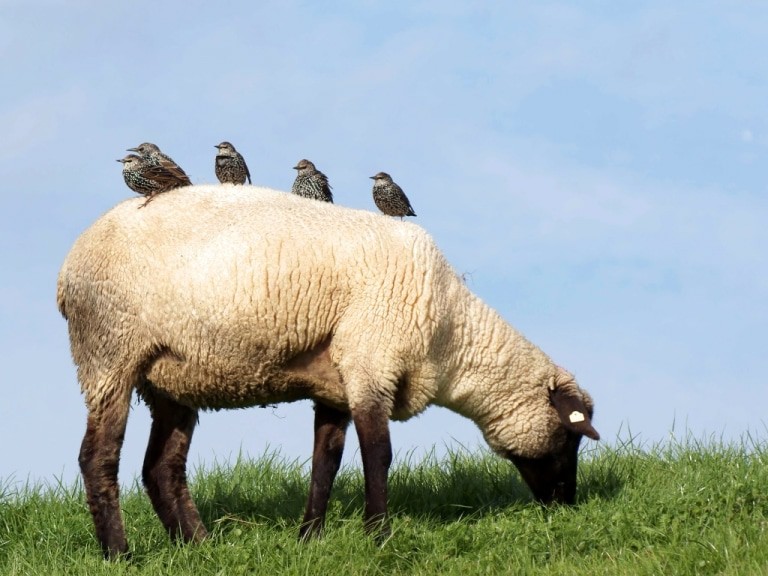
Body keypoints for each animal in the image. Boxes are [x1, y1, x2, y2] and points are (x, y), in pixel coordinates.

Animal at [57, 185, 599, 559]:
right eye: (570, 438)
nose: (567, 507)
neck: (450, 334)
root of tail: (68, 267)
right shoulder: (369, 363)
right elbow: (378, 455)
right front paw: (378, 535)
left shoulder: (335, 386)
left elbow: (327, 462)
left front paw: (309, 538)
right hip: (109, 353)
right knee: (97, 458)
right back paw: (120, 554)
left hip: (168, 380)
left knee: (162, 468)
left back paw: (200, 547)